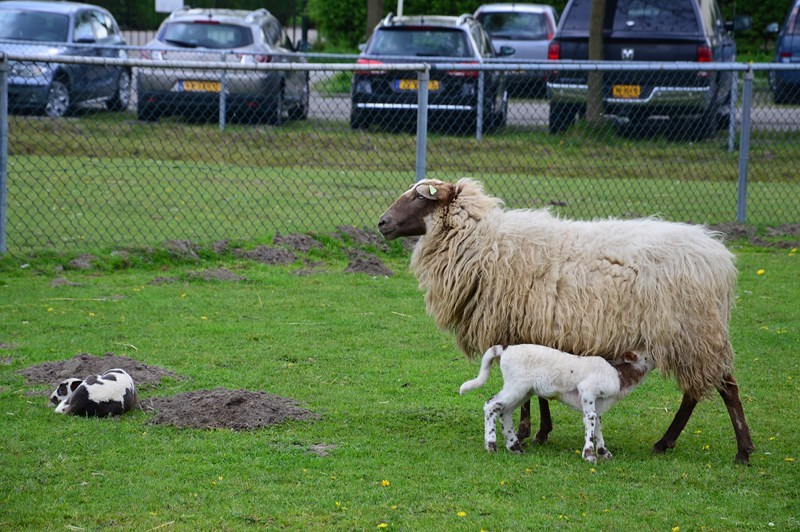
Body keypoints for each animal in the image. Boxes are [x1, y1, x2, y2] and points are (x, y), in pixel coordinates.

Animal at [460, 344, 652, 462]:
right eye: (648, 355)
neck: (618, 375)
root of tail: (505, 349)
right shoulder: (587, 391)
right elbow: (590, 419)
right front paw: (589, 455)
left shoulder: (598, 401)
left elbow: (597, 422)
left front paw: (604, 452)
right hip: (516, 385)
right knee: (491, 405)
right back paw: (491, 446)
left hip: (523, 390)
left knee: (504, 411)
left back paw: (515, 447)